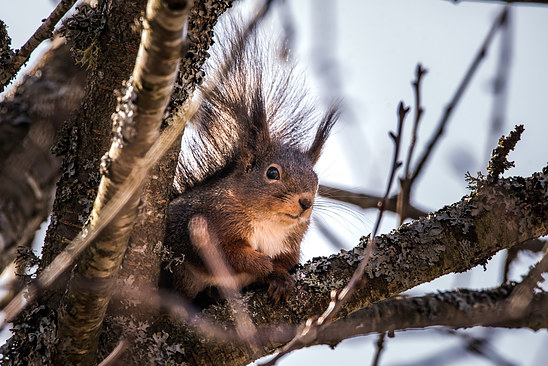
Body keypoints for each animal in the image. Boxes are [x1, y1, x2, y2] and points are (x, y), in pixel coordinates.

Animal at [162, 17, 338, 304]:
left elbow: (286, 262)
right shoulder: (205, 225)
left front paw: (279, 277)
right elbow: (228, 254)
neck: (268, 222)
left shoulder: (291, 246)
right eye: (272, 173)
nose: (306, 202)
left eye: (316, 180)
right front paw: (262, 264)